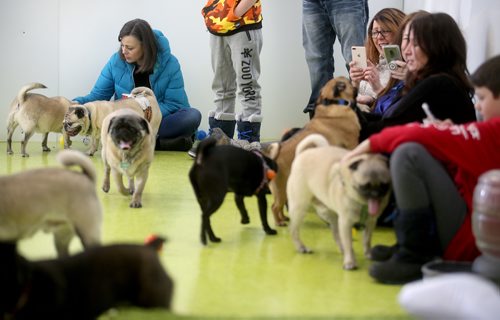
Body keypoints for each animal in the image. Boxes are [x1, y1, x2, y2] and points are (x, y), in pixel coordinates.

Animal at [264, 75, 362, 225]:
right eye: (349, 83)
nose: (356, 84)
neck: (333, 103)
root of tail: (273, 160)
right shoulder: (352, 142)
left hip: (285, 190)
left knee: (279, 206)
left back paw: (284, 218)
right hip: (281, 190)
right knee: (274, 207)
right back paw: (279, 222)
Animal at [286, 134, 390, 270]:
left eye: (384, 186)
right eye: (365, 186)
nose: (376, 193)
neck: (362, 205)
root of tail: (301, 155)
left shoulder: (371, 222)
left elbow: (367, 240)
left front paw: (368, 254)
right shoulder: (346, 223)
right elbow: (348, 243)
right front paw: (350, 261)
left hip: (330, 215)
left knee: (336, 234)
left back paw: (341, 248)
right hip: (300, 209)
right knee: (294, 230)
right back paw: (301, 247)